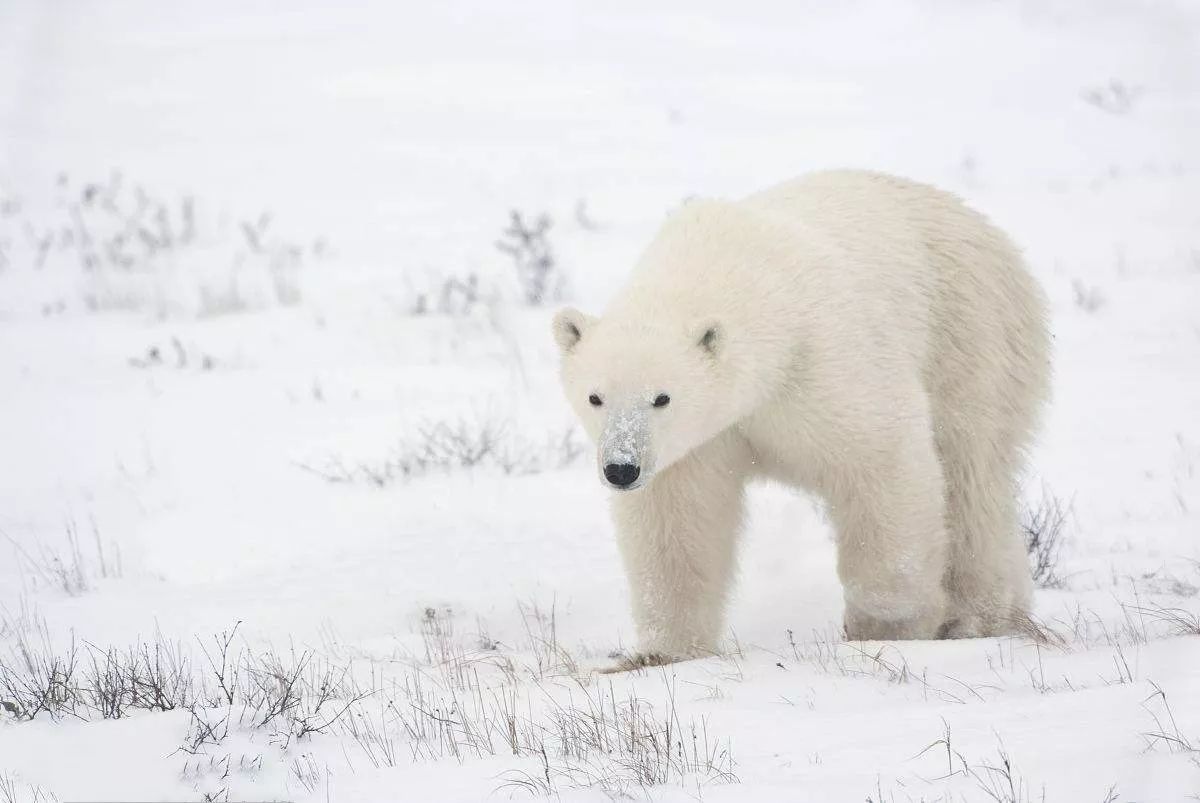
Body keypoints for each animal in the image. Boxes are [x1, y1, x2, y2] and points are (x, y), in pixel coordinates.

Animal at [552, 165, 1051, 662]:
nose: (621, 468)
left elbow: (882, 463)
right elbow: (676, 519)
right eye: (596, 398)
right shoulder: (698, 442)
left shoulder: (824, 364)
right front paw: (665, 650)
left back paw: (976, 618)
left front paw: (886, 624)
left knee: (971, 477)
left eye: (662, 398)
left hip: (971, 336)